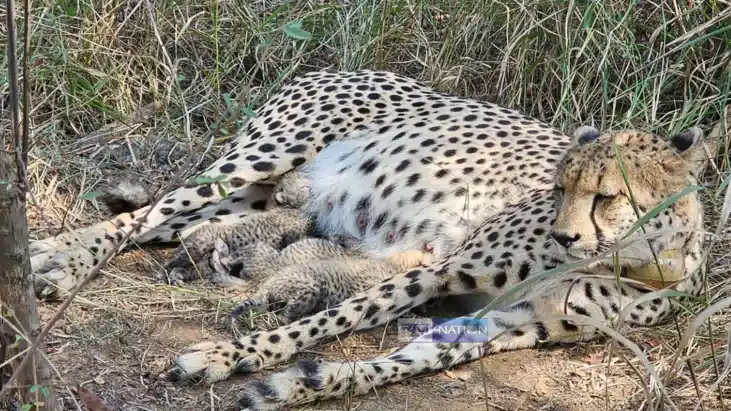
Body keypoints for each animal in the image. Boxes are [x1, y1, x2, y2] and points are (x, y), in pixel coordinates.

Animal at [28, 69, 716, 411]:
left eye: (607, 196)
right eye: (558, 187)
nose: (563, 232)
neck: (635, 262)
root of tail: (339, 65)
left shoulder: (509, 325)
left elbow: (396, 362)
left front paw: (299, 386)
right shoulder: (440, 270)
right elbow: (330, 320)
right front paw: (229, 355)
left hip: (262, 196)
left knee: (182, 226)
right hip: (262, 158)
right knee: (147, 214)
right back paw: (56, 260)